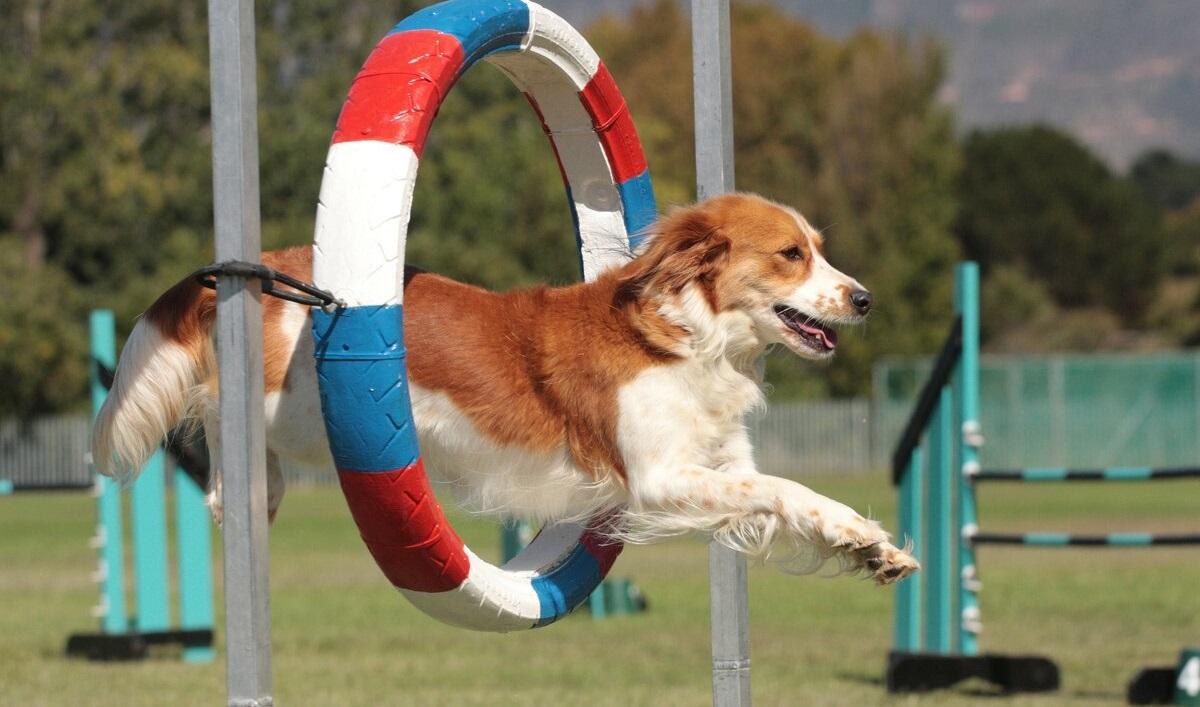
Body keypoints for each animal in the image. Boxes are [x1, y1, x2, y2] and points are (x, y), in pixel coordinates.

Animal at [91, 189, 916, 580]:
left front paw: (868, 543)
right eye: (790, 255)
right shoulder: (658, 480)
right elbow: (777, 487)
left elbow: (791, 496)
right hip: (287, 410)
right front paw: (861, 535)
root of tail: (263, 265)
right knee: (223, 439)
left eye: (819, 249)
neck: (689, 337)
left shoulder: (720, 464)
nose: (867, 298)